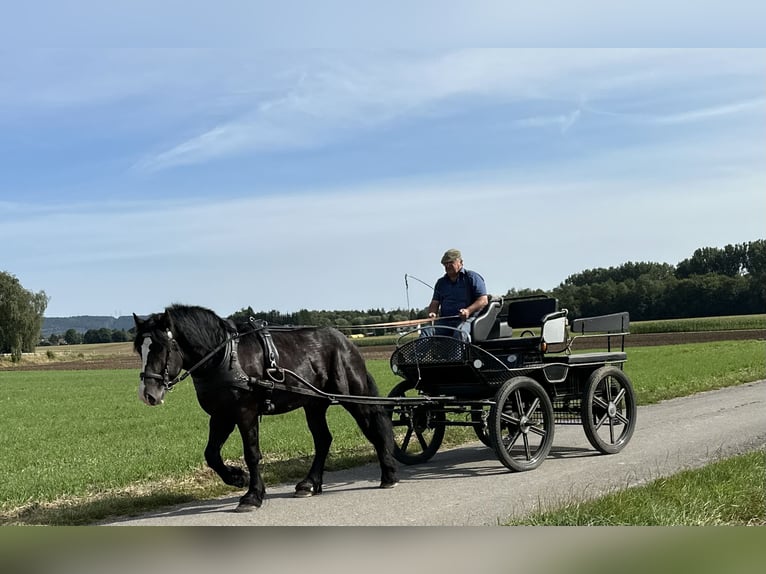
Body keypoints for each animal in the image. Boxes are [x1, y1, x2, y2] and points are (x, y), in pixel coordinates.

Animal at [131, 306, 400, 512]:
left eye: (162, 347)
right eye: (140, 348)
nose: (148, 394)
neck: (224, 356)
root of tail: (345, 342)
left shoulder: (245, 412)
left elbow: (251, 454)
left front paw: (252, 495)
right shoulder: (221, 415)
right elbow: (211, 454)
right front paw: (236, 477)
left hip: (352, 396)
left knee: (373, 426)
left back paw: (388, 474)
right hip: (314, 404)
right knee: (323, 439)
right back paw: (309, 484)